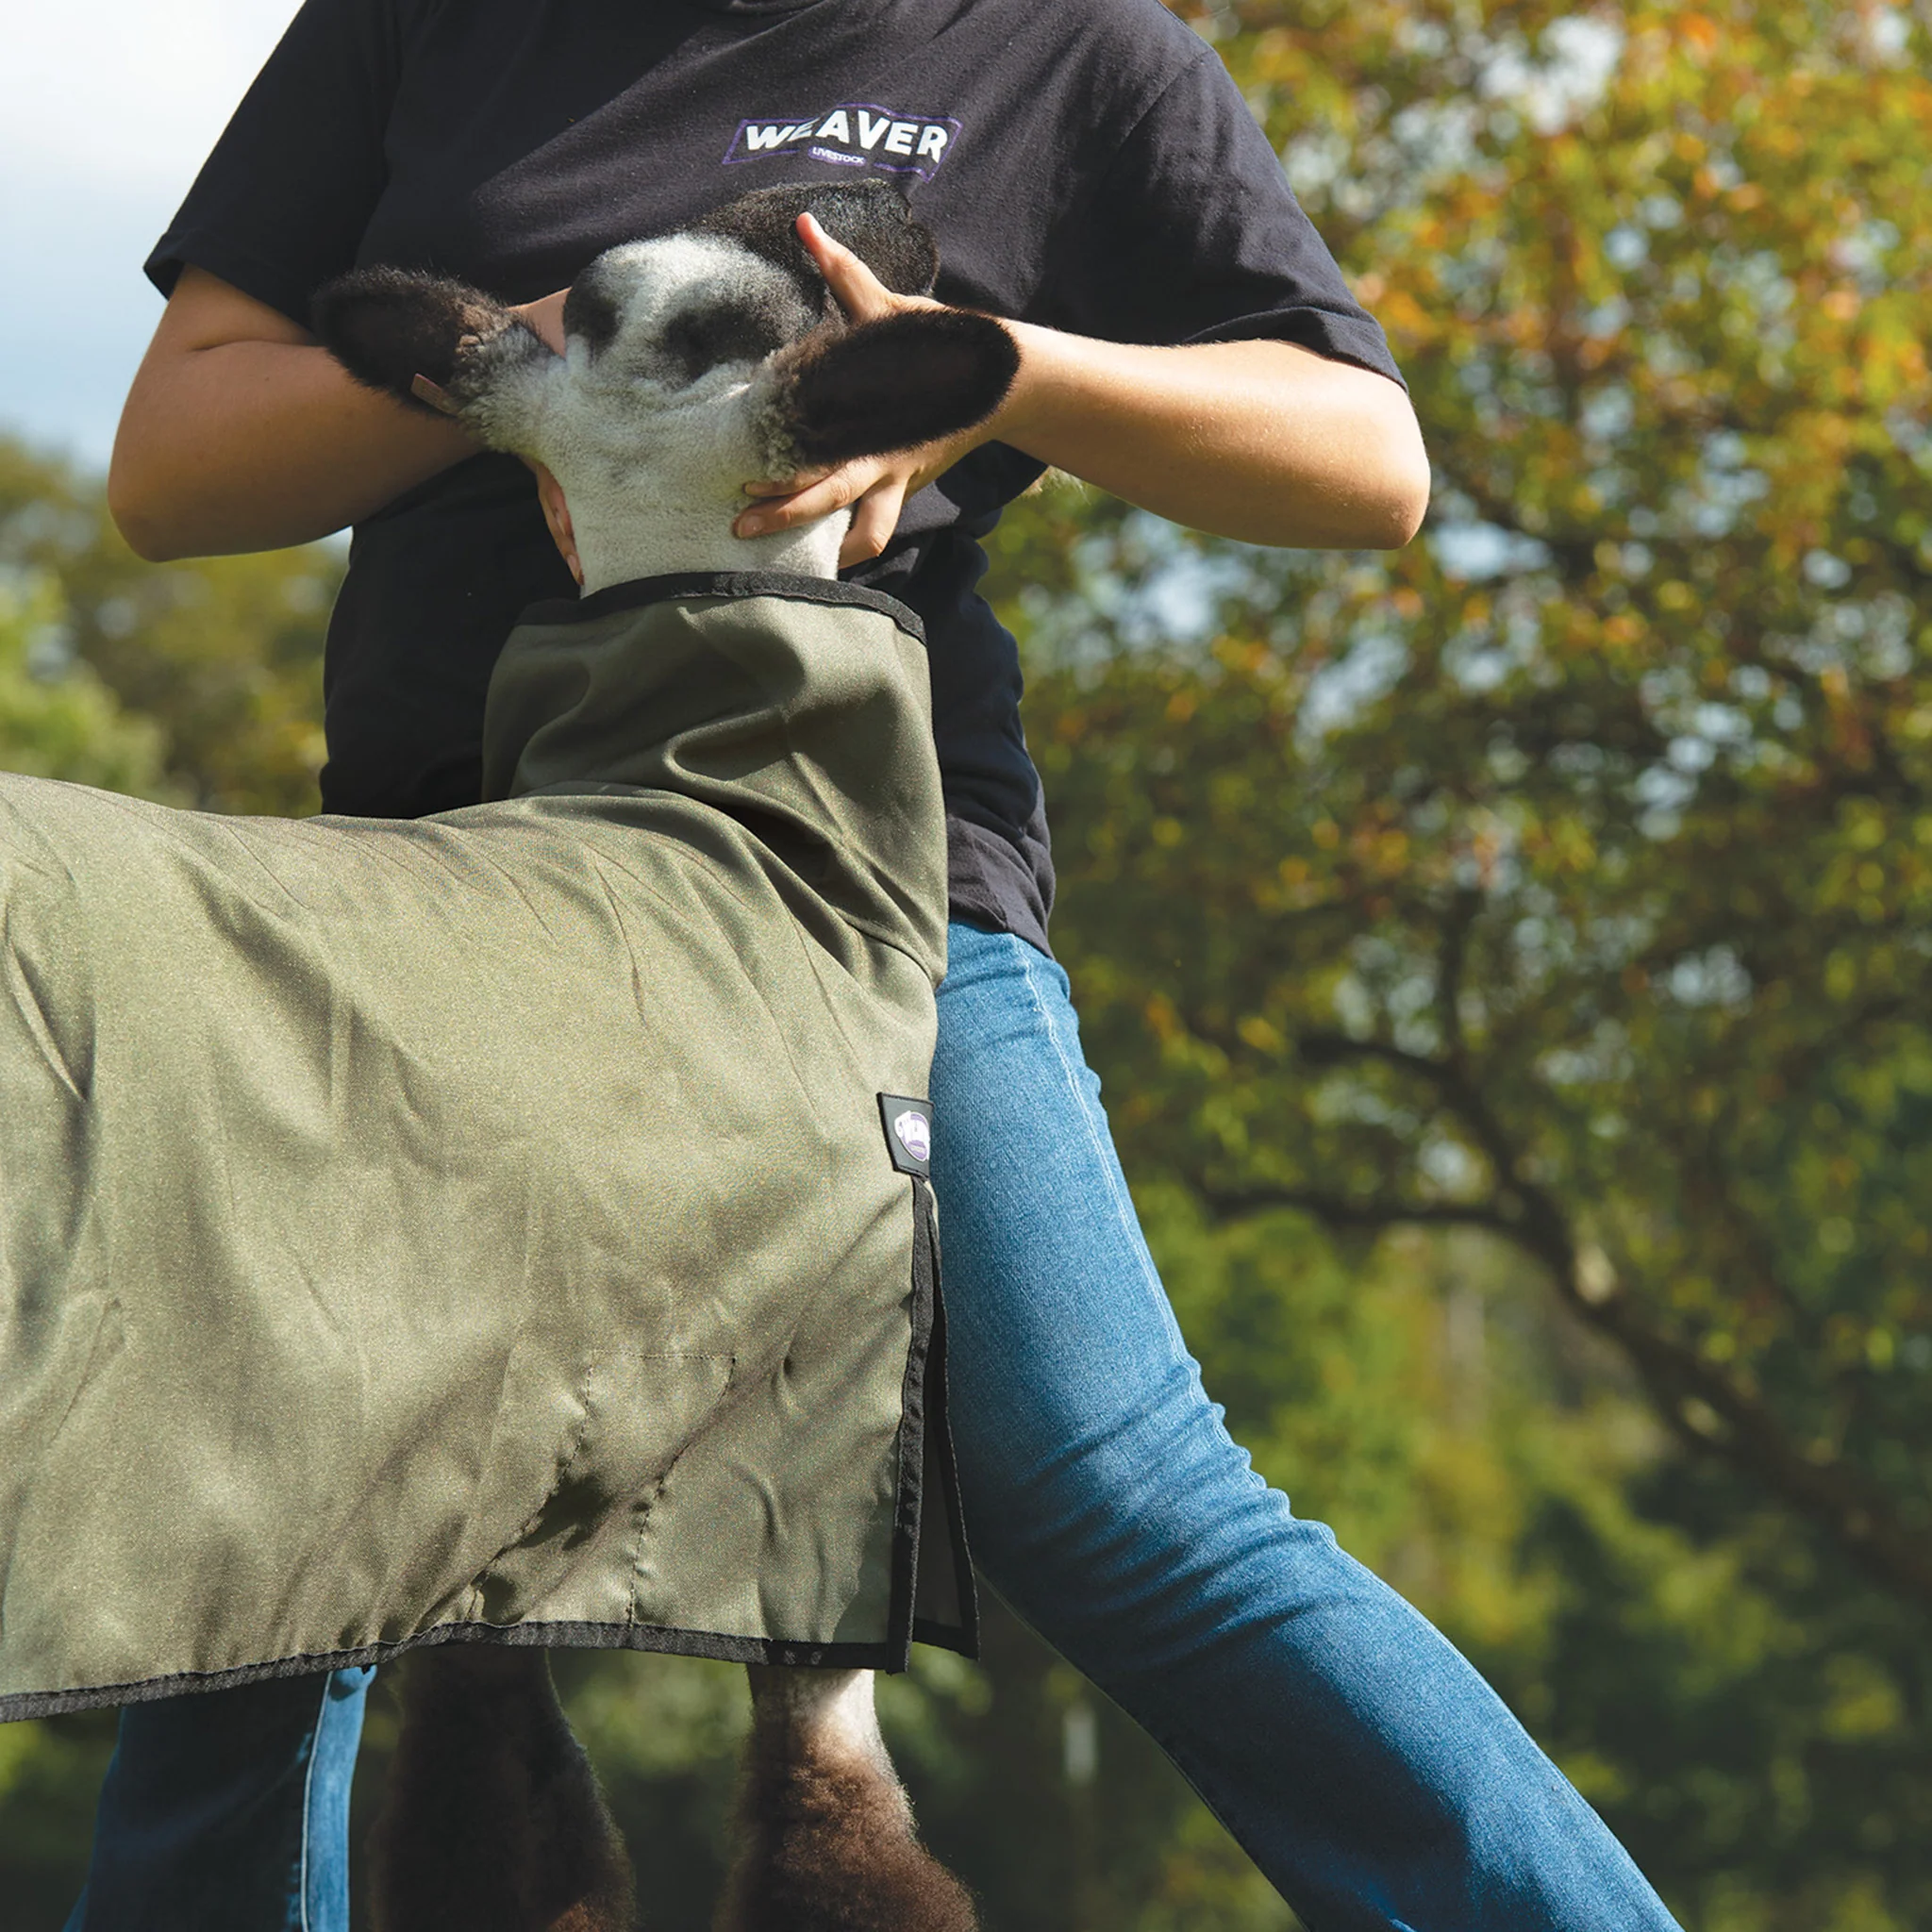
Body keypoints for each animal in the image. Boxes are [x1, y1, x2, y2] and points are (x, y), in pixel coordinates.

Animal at [306, 180, 1018, 1932]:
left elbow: (491, 1814)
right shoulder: (820, 1488)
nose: (853, 203)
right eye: (780, 304)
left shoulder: (493, 1500)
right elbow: (842, 1834)